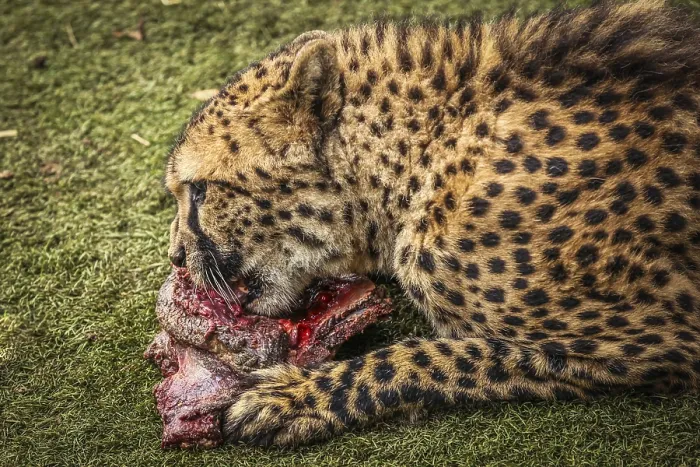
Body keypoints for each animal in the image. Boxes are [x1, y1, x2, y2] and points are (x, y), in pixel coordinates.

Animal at [164, 0, 700, 446]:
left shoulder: (661, 339)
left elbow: (430, 354)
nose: (176, 258)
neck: (426, 152)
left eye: (199, 190)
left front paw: (293, 399)